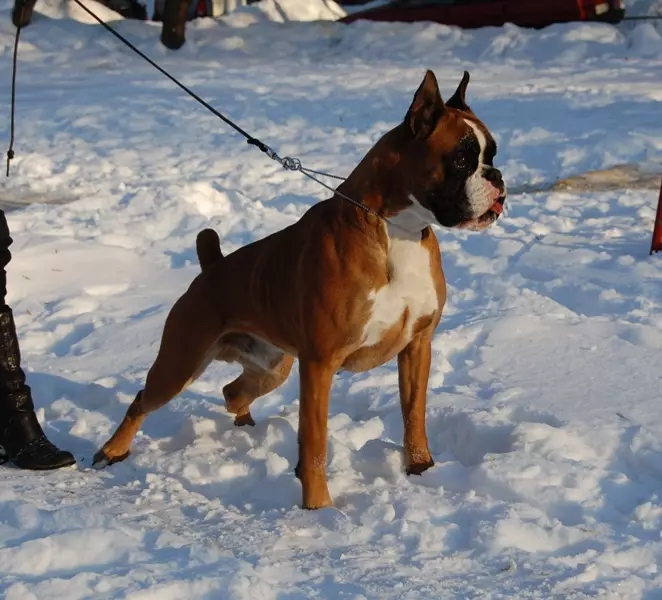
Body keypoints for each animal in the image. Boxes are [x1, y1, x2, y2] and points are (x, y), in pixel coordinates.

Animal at [94, 71, 508, 510]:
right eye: (462, 159)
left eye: (491, 156)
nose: (497, 176)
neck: (399, 229)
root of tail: (212, 267)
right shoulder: (320, 365)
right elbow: (314, 443)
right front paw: (318, 509)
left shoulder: (417, 347)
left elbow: (414, 416)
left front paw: (420, 470)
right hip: (181, 363)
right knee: (142, 401)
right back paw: (112, 450)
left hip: (272, 366)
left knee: (231, 391)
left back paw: (247, 428)